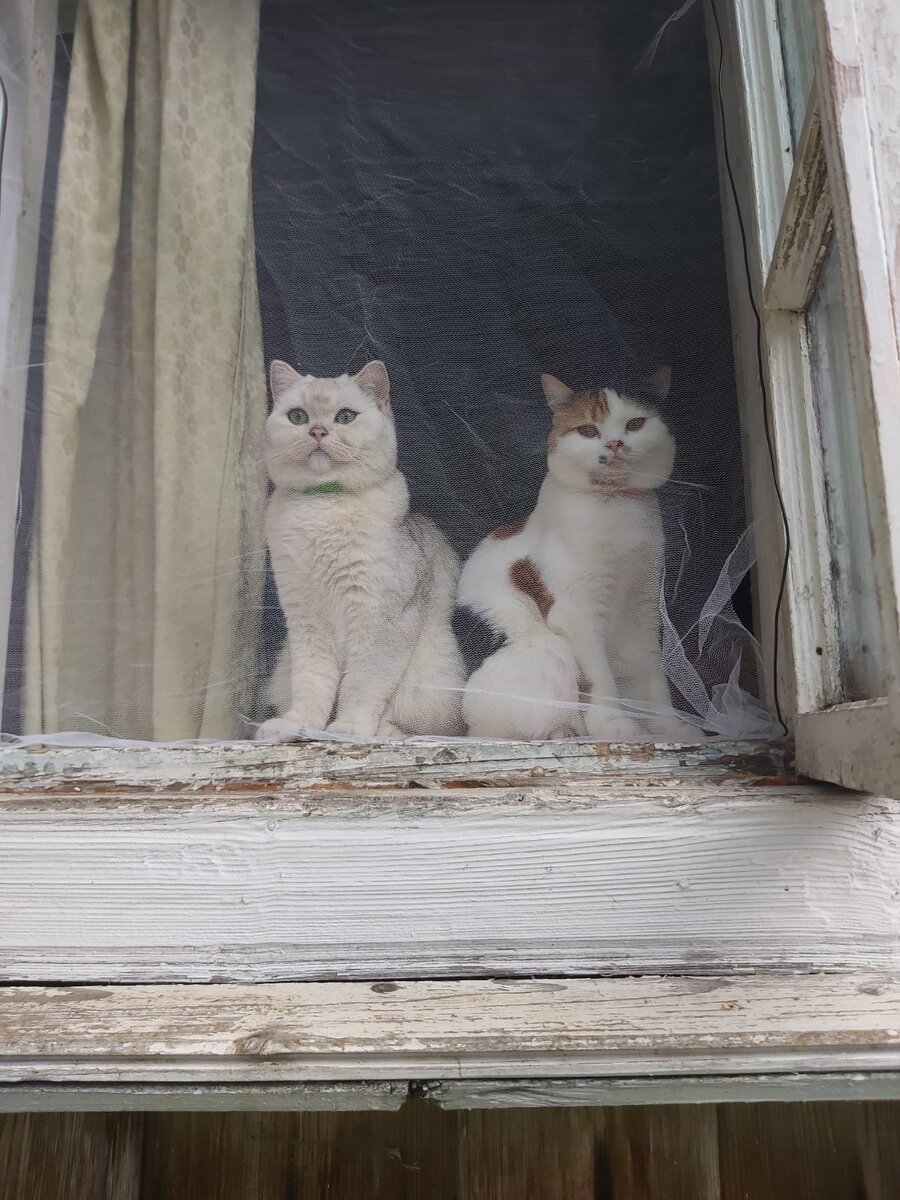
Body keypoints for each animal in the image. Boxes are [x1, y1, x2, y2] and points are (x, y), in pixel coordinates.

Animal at [254, 357, 465, 739]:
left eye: (345, 417)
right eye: (298, 417)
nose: (317, 431)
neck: (324, 508)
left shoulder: (379, 619)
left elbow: (361, 685)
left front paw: (348, 728)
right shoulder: (305, 622)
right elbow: (311, 683)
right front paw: (299, 724)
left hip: (429, 678)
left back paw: (386, 732)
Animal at [458, 364, 696, 739]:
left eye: (634, 424)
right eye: (588, 430)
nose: (615, 443)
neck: (615, 507)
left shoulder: (642, 607)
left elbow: (650, 671)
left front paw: (667, 727)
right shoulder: (576, 612)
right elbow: (597, 677)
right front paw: (612, 724)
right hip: (548, 649)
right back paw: (565, 731)